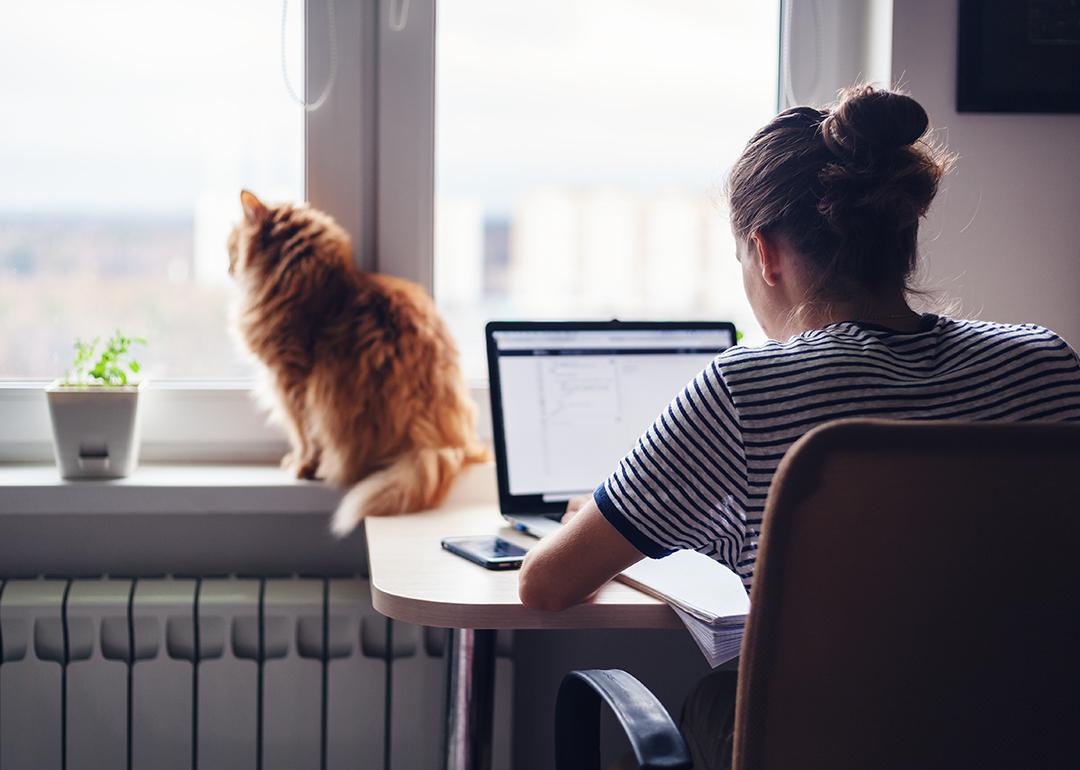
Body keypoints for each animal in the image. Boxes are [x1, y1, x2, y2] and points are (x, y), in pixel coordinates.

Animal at [227, 188, 490, 531]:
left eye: (231, 245)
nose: (228, 266)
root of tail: (439, 440)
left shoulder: (291, 380)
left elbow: (303, 434)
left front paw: (301, 465)